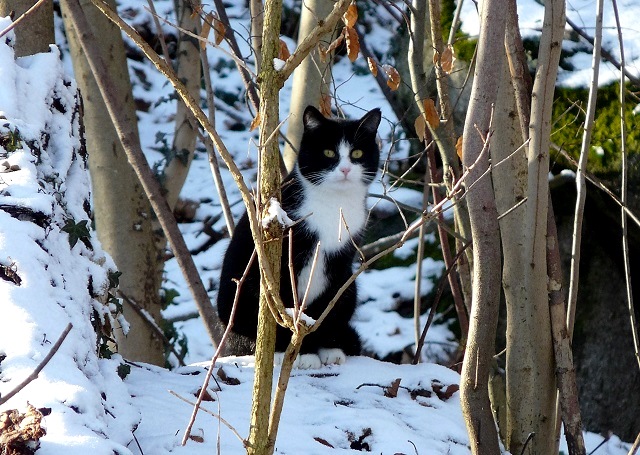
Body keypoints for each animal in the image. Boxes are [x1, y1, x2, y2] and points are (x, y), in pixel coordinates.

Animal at [218, 105, 382, 368]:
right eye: (328, 152)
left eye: (357, 153)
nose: (345, 169)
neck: (333, 204)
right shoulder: (284, 258)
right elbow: (285, 306)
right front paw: (296, 353)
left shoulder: (340, 263)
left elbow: (327, 307)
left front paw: (325, 349)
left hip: (351, 285)